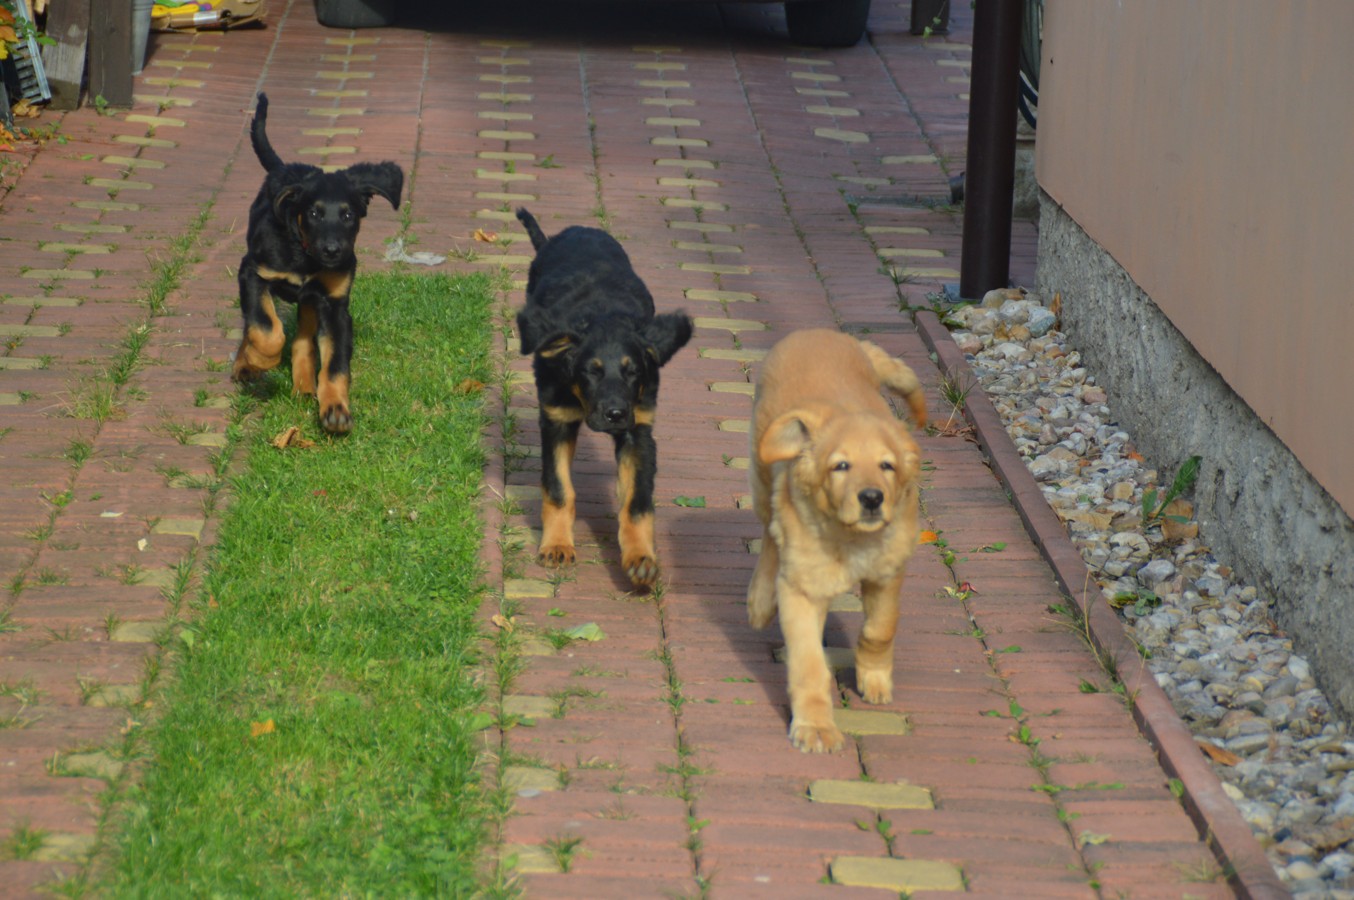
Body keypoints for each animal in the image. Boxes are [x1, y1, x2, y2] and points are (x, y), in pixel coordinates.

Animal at [231, 92, 404, 433]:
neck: (305, 256)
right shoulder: (252, 272)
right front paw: (260, 360)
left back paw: (304, 385)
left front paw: (335, 407)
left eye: (348, 215)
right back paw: (246, 364)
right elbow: (266, 329)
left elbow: (335, 364)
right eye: (313, 213)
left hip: (312, 301)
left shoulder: (334, 305)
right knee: (255, 325)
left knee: (303, 341)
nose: (333, 251)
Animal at [515, 208, 693, 589]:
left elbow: (637, 503)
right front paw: (556, 545)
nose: (614, 414)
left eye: (633, 372)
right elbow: (558, 489)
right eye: (591, 372)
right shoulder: (556, 420)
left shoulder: (638, 429)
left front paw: (640, 557)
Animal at [747, 329, 928, 753]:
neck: (850, 540)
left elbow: (881, 629)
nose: (872, 498)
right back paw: (760, 601)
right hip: (763, 474)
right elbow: (809, 662)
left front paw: (874, 679)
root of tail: (820, 331)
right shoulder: (802, 589)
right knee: (769, 533)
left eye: (887, 465)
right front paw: (815, 726)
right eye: (840, 466)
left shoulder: (888, 572)